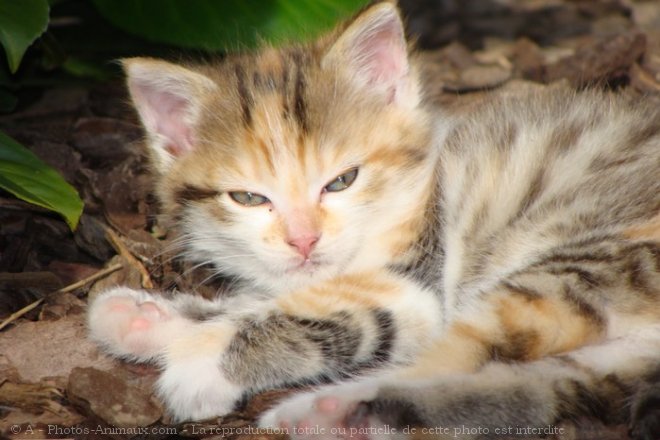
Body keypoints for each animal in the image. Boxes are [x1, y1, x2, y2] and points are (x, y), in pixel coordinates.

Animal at [87, 1, 660, 438]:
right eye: (249, 197)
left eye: (342, 180)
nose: (304, 240)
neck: (415, 189)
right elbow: (270, 298)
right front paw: (147, 318)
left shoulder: (417, 283)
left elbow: (313, 308)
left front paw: (204, 358)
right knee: (534, 383)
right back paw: (340, 414)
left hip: (592, 260)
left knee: (459, 350)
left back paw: (330, 408)